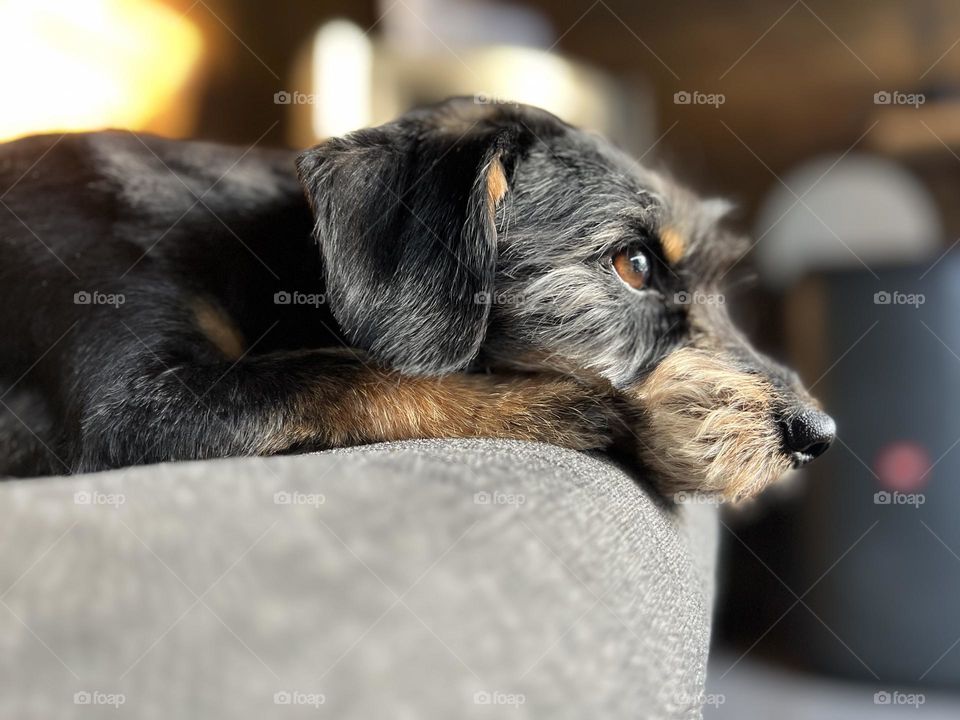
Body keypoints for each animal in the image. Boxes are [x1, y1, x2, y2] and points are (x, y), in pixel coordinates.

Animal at [0, 97, 832, 500]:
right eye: (633, 264)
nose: (819, 435)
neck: (272, 256)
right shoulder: (132, 409)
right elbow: (350, 372)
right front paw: (571, 407)